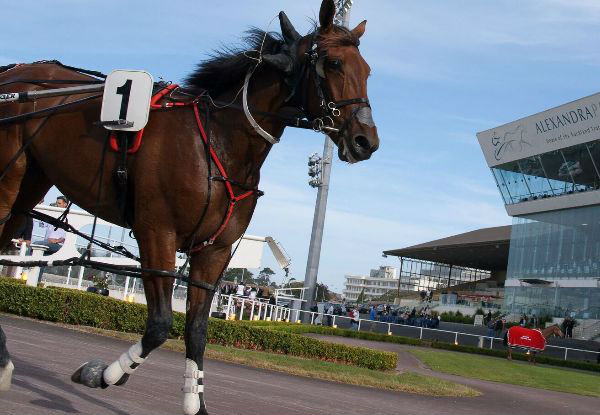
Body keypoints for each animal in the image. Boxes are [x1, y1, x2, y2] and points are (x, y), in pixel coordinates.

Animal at [0, 1, 378, 414]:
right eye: (333, 63)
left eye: (367, 70)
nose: (366, 141)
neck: (219, 141)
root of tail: (15, 74)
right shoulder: (156, 231)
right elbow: (160, 323)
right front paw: (100, 373)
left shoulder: (214, 250)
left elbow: (196, 330)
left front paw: (196, 402)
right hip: (8, 180)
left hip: (29, 183)